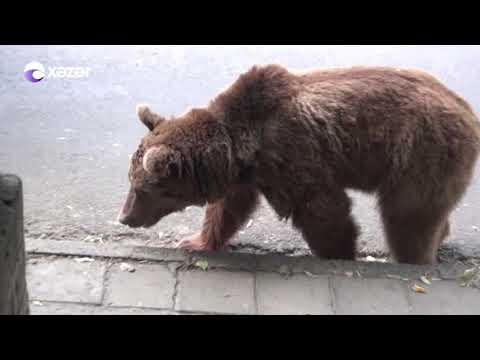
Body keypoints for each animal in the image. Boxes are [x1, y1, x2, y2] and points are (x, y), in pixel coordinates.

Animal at [117, 64, 480, 264]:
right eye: (131, 181)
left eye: (141, 188)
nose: (124, 217)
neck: (242, 146)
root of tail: (468, 113)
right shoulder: (248, 175)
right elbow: (228, 209)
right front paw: (196, 241)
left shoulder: (292, 156)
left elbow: (324, 212)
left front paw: (338, 254)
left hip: (419, 154)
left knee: (406, 217)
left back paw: (414, 258)